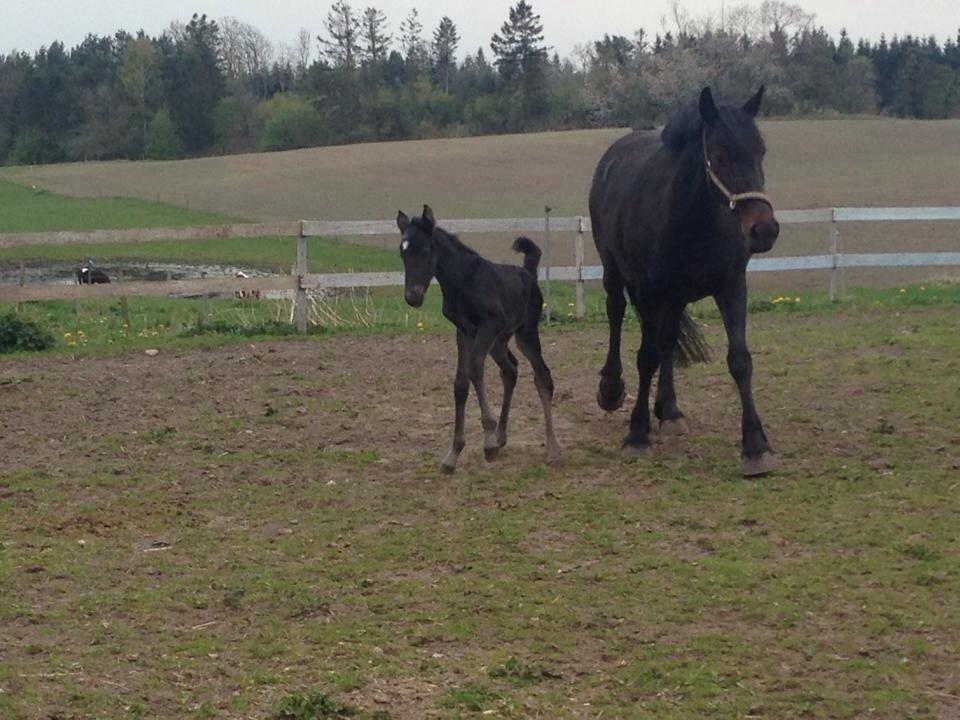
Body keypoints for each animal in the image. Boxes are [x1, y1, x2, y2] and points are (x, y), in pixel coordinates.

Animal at [398, 205, 564, 472]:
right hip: (499, 341)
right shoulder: (464, 331)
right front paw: (454, 453)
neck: (462, 281)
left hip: (525, 334)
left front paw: (487, 442)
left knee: (542, 378)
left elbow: (475, 369)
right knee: (510, 369)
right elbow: (460, 383)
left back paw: (552, 449)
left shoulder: (488, 325)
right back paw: (502, 436)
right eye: (402, 252)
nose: (412, 297)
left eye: (425, 250)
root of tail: (528, 272)